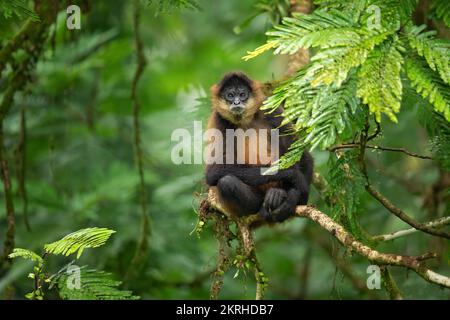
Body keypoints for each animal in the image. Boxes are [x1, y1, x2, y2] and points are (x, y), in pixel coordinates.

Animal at [205, 72, 312, 222]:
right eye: (230, 95)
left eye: (242, 94)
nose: (236, 102)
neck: (244, 121)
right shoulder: (219, 119)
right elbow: (213, 171)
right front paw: (294, 176)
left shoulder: (268, 108)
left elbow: (300, 154)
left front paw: (295, 197)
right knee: (226, 182)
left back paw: (282, 194)